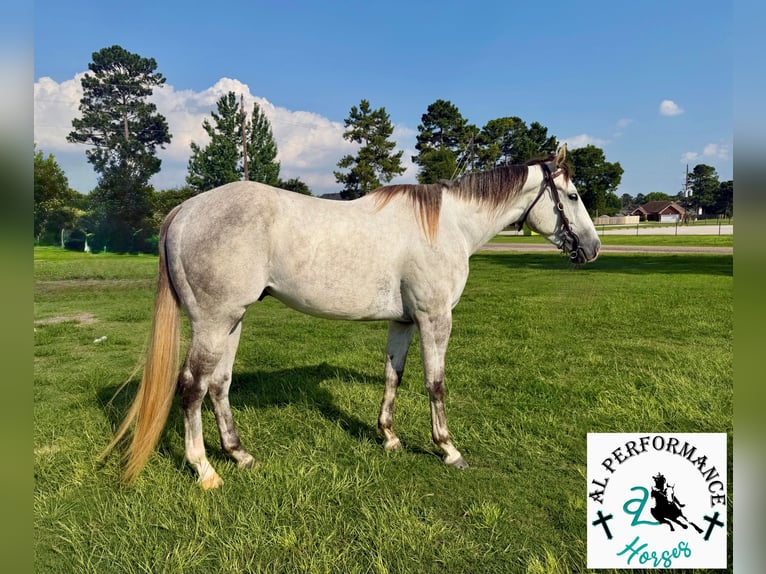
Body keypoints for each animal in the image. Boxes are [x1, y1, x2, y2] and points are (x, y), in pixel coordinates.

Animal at [103, 145, 600, 489]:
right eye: (573, 195)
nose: (593, 249)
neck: (448, 226)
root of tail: (185, 211)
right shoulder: (435, 319)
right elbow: (435, 384)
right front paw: (447, 449)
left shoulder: (404, 322)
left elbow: (393, 376)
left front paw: (389, 437)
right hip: (212, 324)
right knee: (192, 388)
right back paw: (205, 470)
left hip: (231, 322)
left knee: (219, 386)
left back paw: (239, 454)